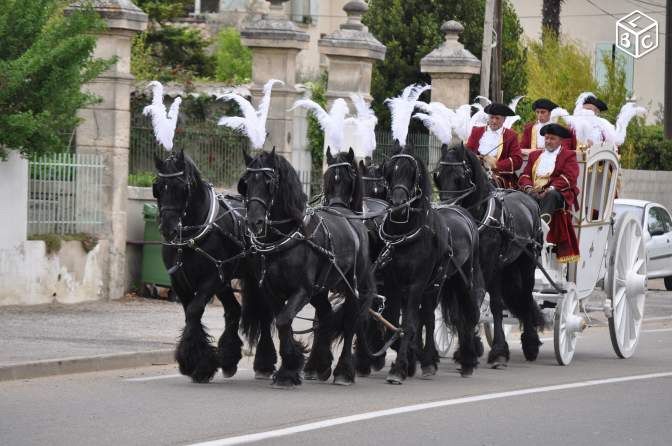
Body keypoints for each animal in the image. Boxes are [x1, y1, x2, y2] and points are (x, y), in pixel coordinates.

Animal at [154, 152, 276, 382]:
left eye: (183, 188)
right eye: (157, 187)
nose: (168, 228)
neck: (192, 236)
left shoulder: (210, 280)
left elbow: (194, 310)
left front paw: (198, 363)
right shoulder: (180, 282)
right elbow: (190, 313)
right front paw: (195, 362)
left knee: (264, 314)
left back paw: (263, 364)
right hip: (226, 280)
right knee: (234, 311)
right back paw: (229, 359)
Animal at [238, 149, 376, 386]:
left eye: (269, 182)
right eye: (246, 182)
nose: (254, 222)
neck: (287, 235)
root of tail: (348, 214)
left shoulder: (302, 290)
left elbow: (284, 321)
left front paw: (289, 368)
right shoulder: (272, 291)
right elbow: (282, 322)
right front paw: (291, 366)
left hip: (352, 288)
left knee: (350, 322)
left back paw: (343, 371)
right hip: (319, 290)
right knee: (326, 316)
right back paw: (319, 365)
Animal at [378, 145, 484, 382]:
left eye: (412, 172)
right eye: (389, 170)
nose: (398, 206)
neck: (406, 233)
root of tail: (461, 211)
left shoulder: (416, 284)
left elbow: (409, 324)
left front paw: (399, 369)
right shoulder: (394, 285)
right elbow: (396, 322)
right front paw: (407, 362)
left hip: (461, 280)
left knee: (465, 316)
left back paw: (467, 361)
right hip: (437, 284)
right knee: (429, 317)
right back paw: (428, 360)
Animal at [434, 143, 544, 366]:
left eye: (460, 176)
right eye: (437, 176)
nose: (447, 208)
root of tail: (528, 198)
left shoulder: (488, 266)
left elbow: (490, 305)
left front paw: (497, 350)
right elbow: (466, 304)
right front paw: (470, 346)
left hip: (526, 264)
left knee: (524, 298)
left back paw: (530, 344)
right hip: (504, 267)